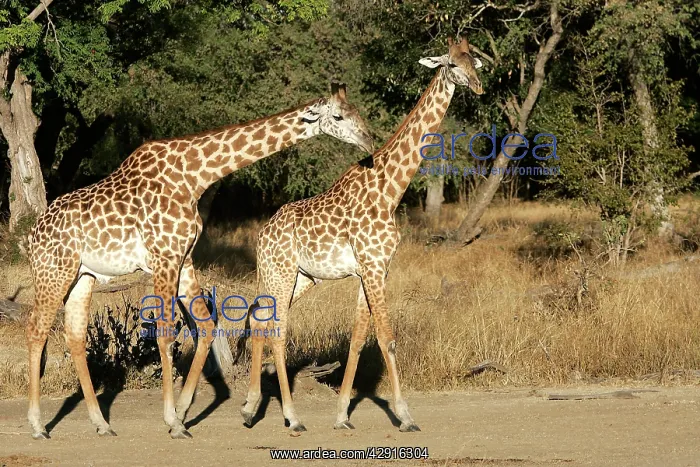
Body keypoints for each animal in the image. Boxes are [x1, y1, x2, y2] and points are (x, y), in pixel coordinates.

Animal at [25, 83, 374, 440]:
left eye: (357, 111)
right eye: (338, 116)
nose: (369, 140)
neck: (193, 177)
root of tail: (32, 236)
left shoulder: (183, 258)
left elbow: (204, 327)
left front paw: (182, 413)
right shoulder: (163, 256)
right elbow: (166, 333)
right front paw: (172, 419)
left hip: (81, 276)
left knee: (75, 337)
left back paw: (101, 424)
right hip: (53, 271)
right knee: (35, 330)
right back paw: (38, 426)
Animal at [244, 37, 483, 433]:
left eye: (474, 61)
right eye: (451, 63)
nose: (478, 86)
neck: (390, 190)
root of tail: (261, 236)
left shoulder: (373, 269)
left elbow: (357, 340)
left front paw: (342, 415)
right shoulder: (372, 266)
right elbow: (387, 338)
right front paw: (405, 416)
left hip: (300, 277)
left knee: (260, 319)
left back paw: (249, 409)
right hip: (282, 271)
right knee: (276, 328)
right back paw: (291, 418)